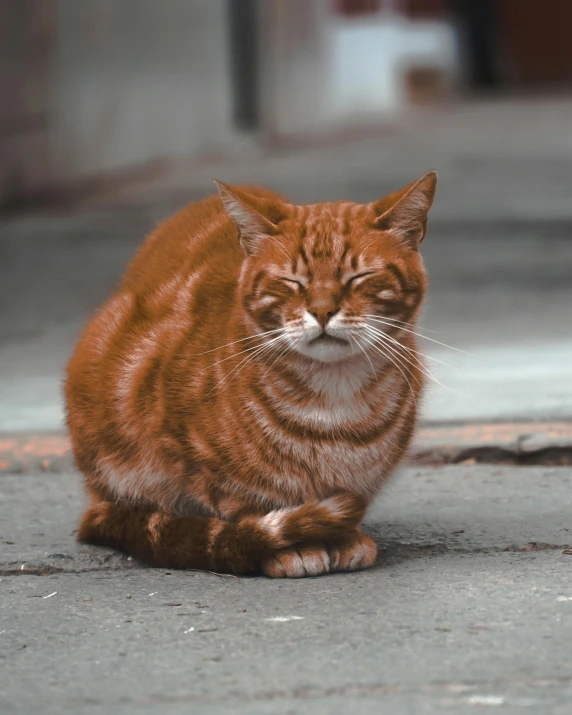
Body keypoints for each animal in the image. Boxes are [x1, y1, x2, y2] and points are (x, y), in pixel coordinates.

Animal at [63, 171, 438, 580]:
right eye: (293, 281)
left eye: (358, 277)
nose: (323, 311)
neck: (334, 399)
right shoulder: (180, 437)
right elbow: (245, 502)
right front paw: (295, 543)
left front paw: (343, 537)